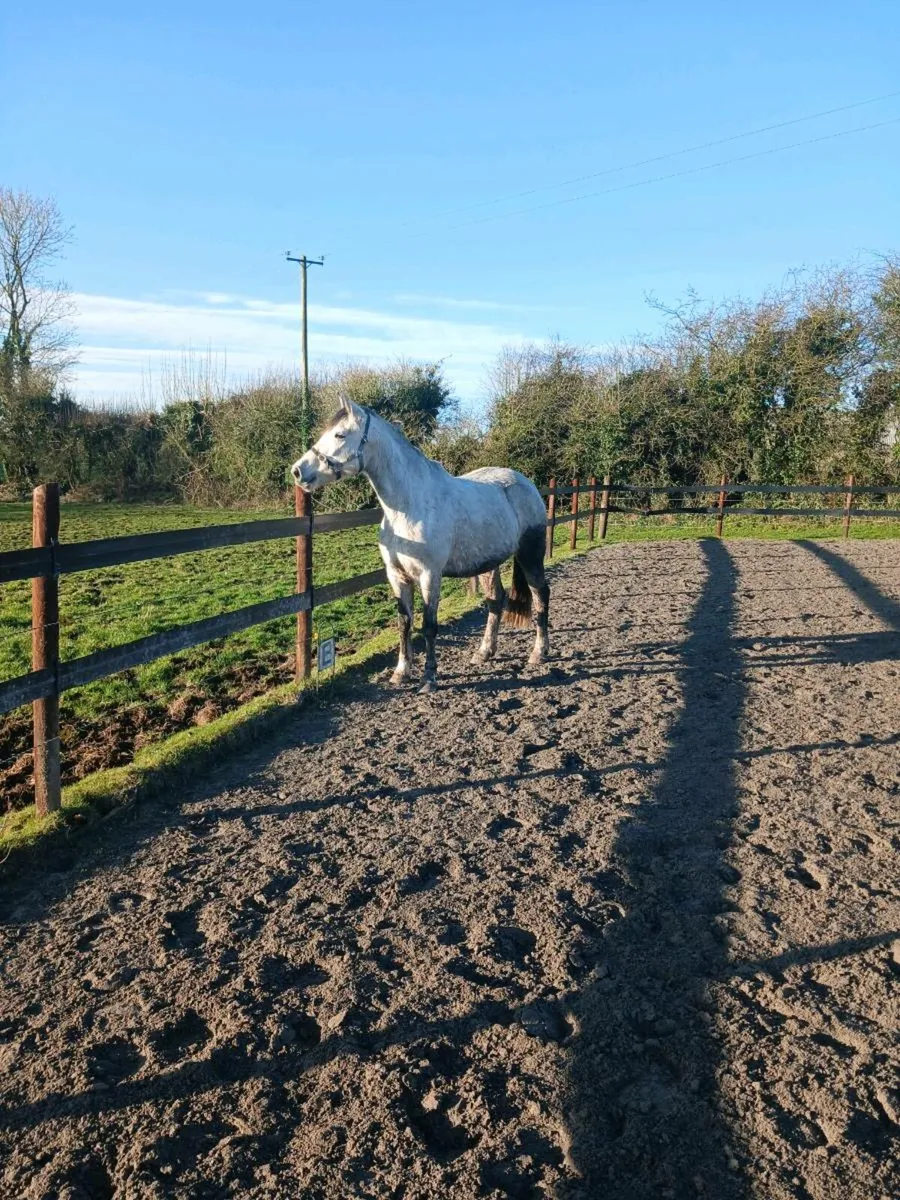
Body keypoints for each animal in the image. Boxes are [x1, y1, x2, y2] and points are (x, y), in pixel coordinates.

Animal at [290, 395, 550, 693]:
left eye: (340, 434)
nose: (298, 471)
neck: (408, 507)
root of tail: (526, 483)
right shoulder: (397, 576)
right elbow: (404, 622)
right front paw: (401, 673)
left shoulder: (429, 575)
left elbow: (429, 625)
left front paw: (429, 678)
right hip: (489, 564)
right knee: (496, 600)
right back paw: (484, 652)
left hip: (531, 555)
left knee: (541, 595)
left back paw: (539, 653)